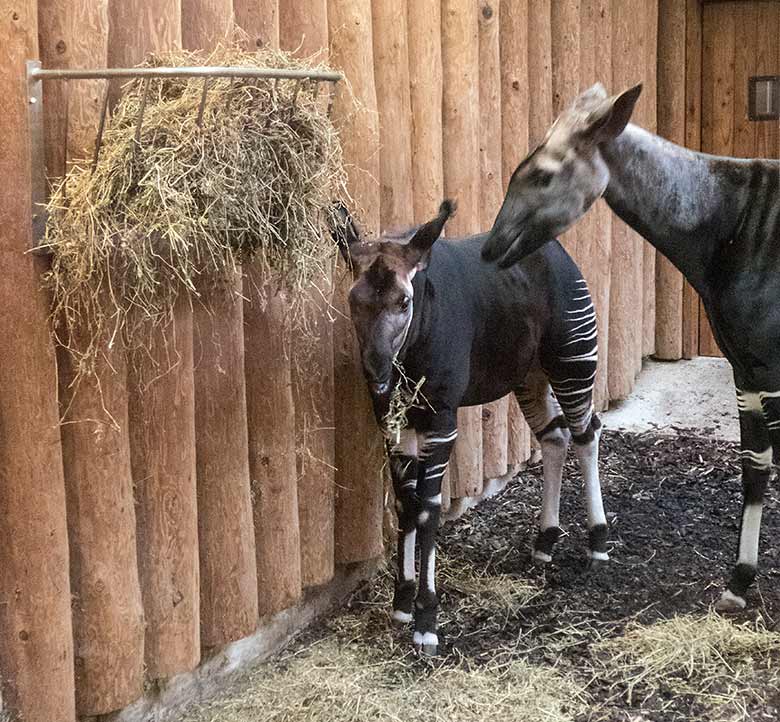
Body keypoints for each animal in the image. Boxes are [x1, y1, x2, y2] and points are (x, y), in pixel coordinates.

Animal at [336, 200, 608, 656]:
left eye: (404, 302)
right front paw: (401, 602)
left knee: (587, 432)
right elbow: (405, 504)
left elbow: (428, 510)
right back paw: (544, 541)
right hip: (527, 374)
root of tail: (557, 251)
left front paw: (426, 620)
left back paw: (598, 543)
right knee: (555, 436)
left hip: (571, 356)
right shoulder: (396, 423)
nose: (377, 376)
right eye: (353, 301)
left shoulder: (442, 420)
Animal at [484, 83, 776, 612]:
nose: (490, 248)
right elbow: (755, 467)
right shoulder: (746, 368)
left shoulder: (770, 365)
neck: (733, 224)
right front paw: (739, 582)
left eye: (542, 175)